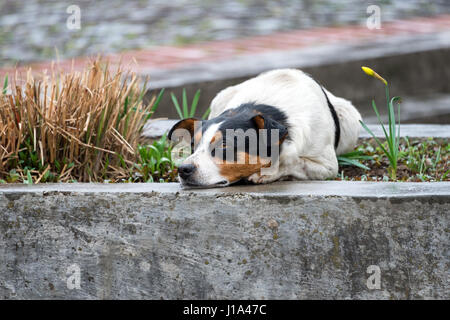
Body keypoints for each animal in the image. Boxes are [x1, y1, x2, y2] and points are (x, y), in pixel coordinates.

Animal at [169, 68, 362, 188]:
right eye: (193, 146)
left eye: (224, 146)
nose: (183, 170)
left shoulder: (327, 166)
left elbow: (292, 160)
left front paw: (268, 172)